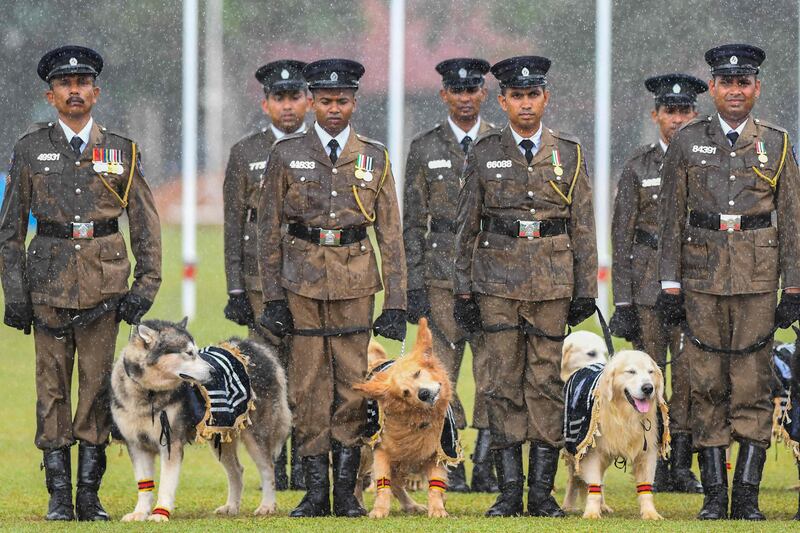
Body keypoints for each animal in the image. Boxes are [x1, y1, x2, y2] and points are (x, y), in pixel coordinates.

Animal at [111, 320, 290, 520]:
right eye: (189, 353)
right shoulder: (136, 445)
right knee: (237, 470)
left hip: (256, 435)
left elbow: (166, 483)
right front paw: (140, 513)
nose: (214, 371)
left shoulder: (171, 443)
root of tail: (259, 349)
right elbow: (144, 485)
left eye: (197, 352)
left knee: (268, 469)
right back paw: (231, 506)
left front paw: (159, 514)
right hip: (222, 435)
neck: (148, 393)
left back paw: (267, 506)